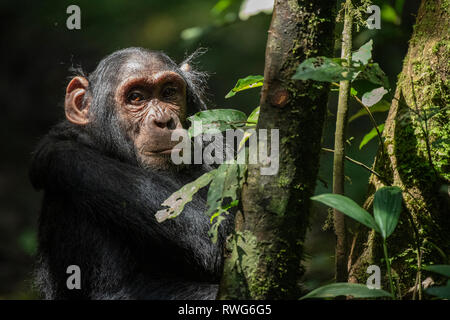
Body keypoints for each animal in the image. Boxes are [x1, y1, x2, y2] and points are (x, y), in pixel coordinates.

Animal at [29, 47, 234, 300]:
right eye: (136, 97)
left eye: (168, 92)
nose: (164, 120)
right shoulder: (70, 211)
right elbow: (113, 290)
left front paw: (56, 151)